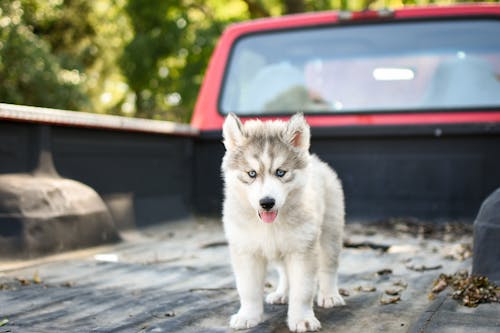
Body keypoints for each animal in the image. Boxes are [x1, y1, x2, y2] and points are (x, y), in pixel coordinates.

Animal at [221, 113, 346, 330]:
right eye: (251, 173)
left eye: (281, 172)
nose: (267, 203)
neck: (269, 225)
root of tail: (316, 161)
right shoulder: (246, 251)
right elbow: (248, 289)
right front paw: (247, 315)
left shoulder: (302, 250)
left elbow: (302, 291)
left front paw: (302, 318)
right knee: (285, 273)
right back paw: (282, 294)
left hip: (330, 232)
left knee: (329, 266)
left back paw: (330, 295)